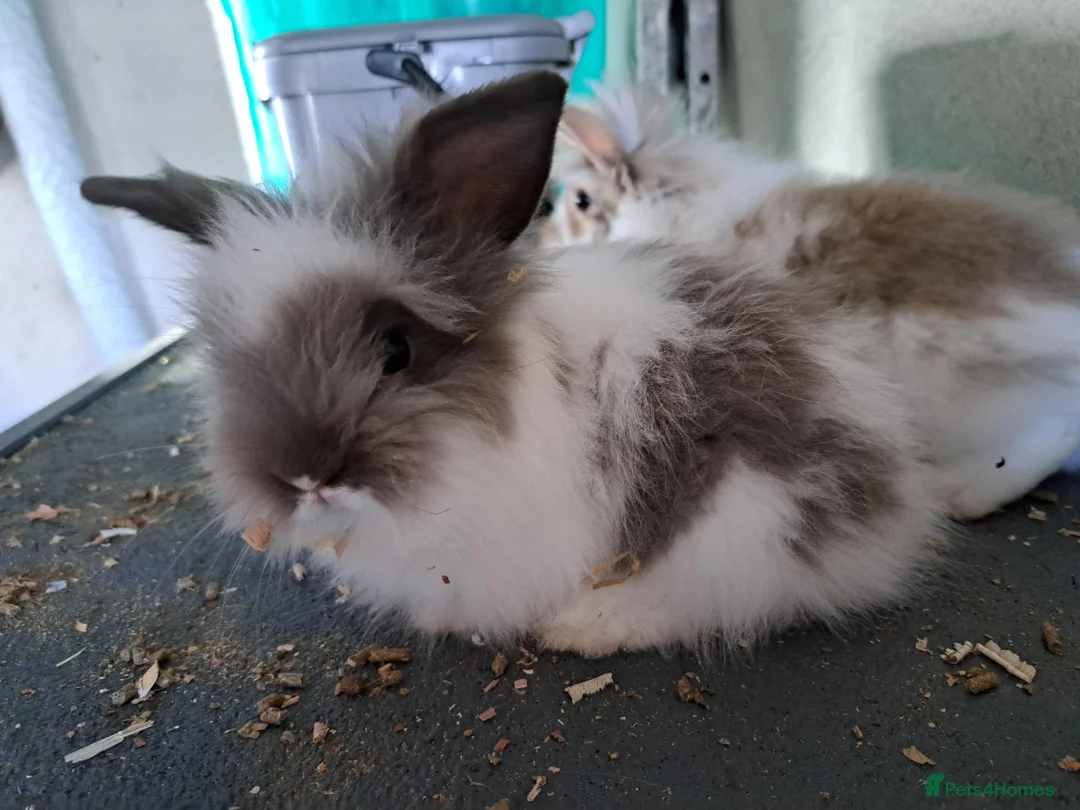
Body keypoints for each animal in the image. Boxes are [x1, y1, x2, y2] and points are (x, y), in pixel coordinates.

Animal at [80, 71, 949, 658]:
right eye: (228, 361)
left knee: (724, 602)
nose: (305, 476)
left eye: (396, 350)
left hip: (740, 517)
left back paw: (585, 628)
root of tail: (897, 502)